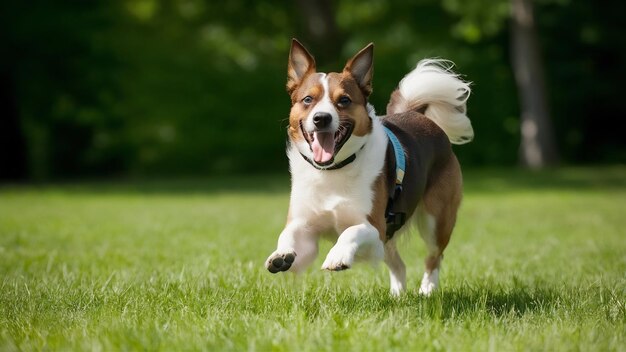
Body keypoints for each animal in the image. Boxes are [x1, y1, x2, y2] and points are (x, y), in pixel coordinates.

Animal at [264, 39, 472, 296]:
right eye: (308, 100)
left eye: (344, 100)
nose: (321, 118)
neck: (334, 170)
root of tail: (417, 114)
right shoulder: (306, 227)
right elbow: (288, 233)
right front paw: (280, 254)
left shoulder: (375, 228)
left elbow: (351, 231)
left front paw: (337, 256)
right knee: (399, 264)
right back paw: (398, 296)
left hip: (436, 219)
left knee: (434, 257)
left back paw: (427, 290)